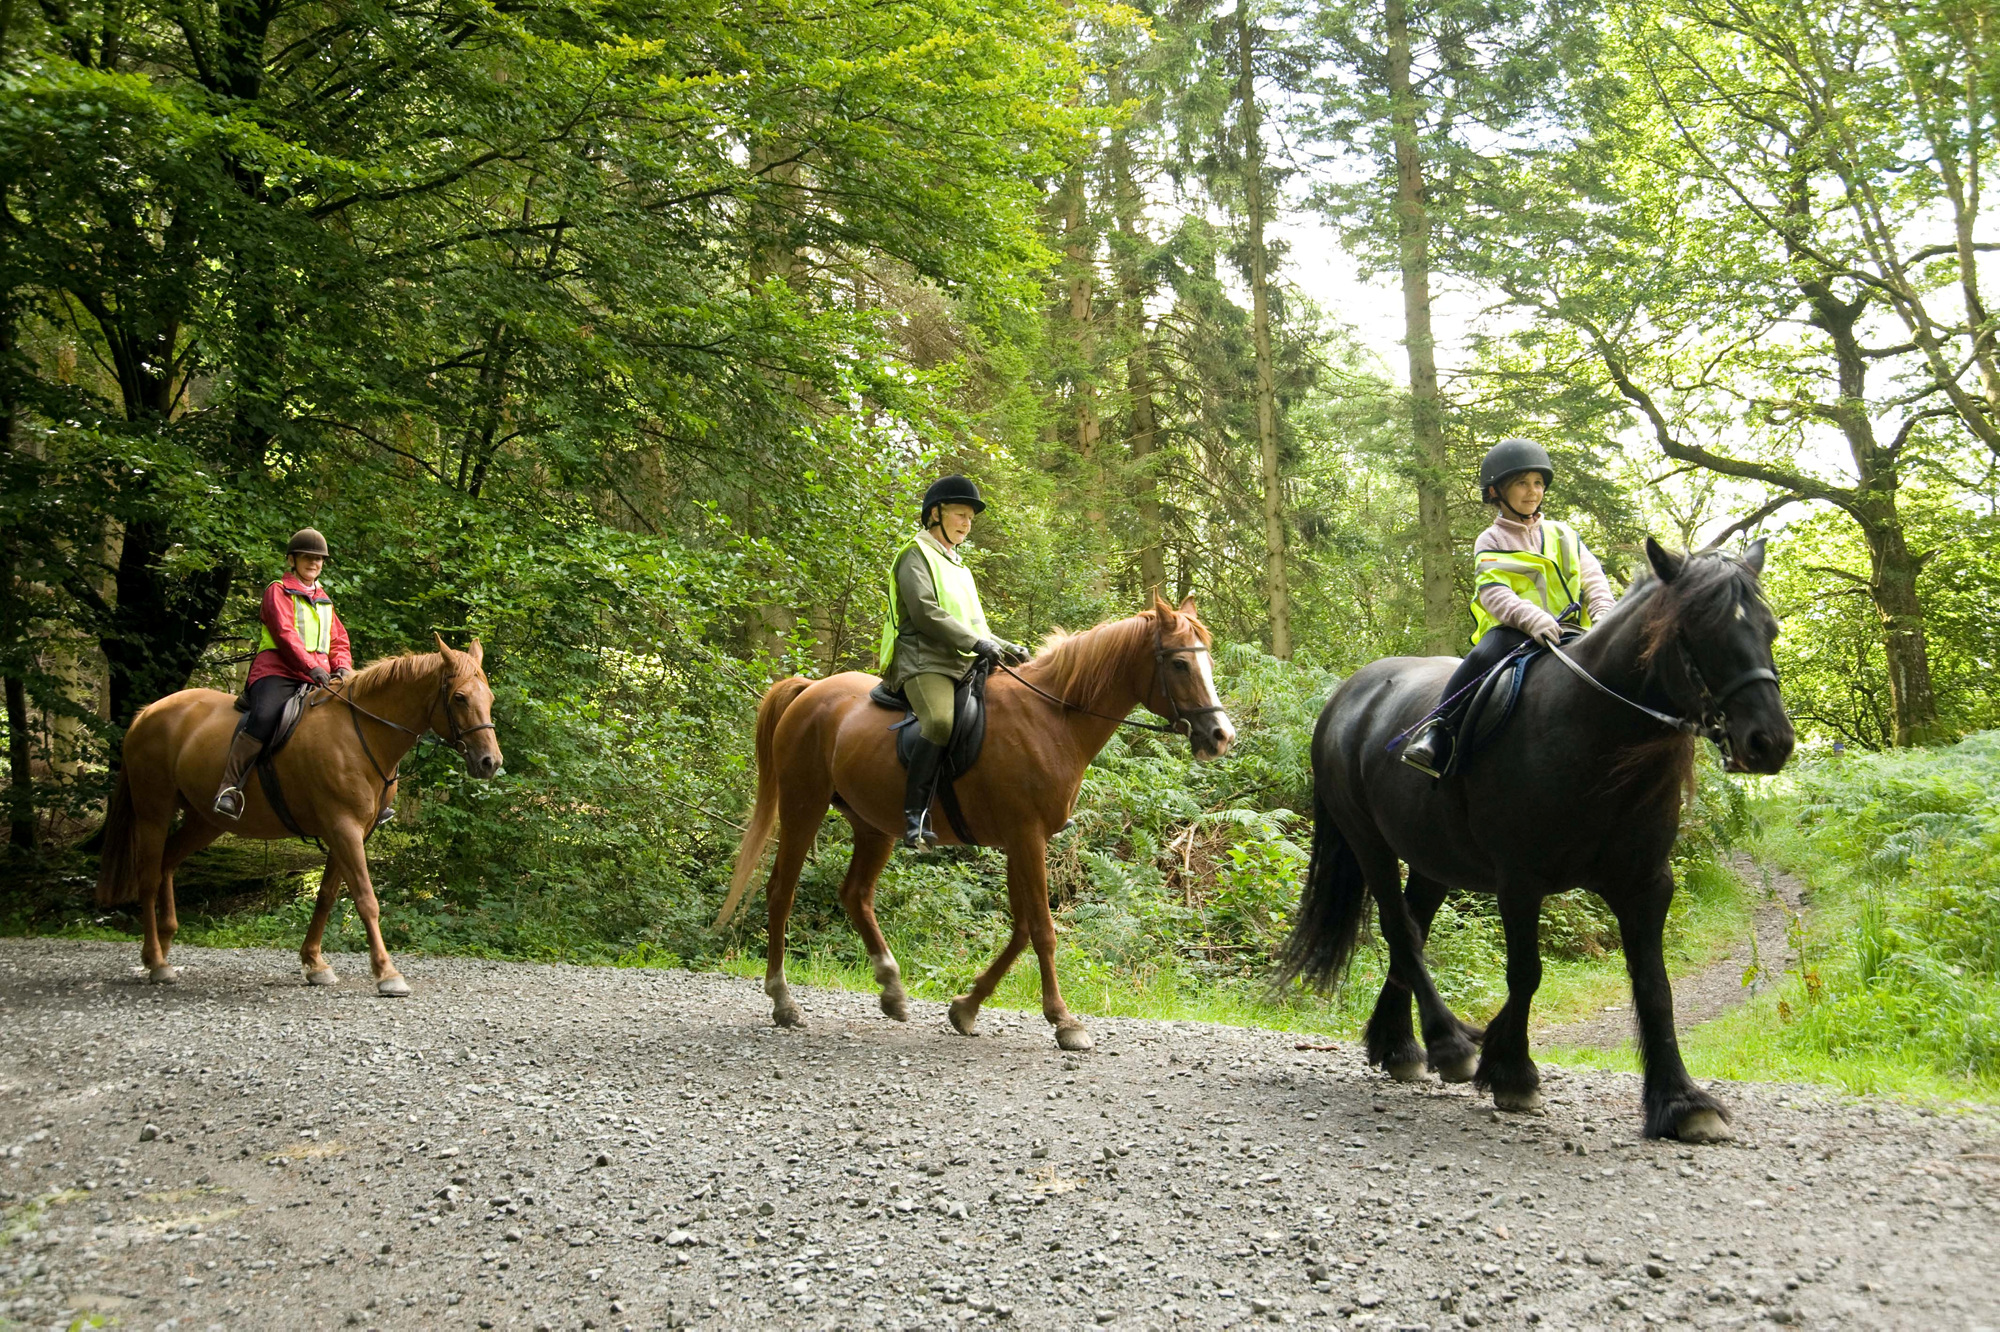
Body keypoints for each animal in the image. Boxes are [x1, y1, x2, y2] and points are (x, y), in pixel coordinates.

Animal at [94, 640, 504, 992]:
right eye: (460, 697)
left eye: (489, 698)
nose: (490, 762)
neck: (361, 734)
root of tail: (147, 713)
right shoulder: (343, 828)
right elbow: (366, 899)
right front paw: (387, 973)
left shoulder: (352, 833)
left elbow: (326, 897)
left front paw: (314, 963)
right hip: (154, 811)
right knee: (148, 877)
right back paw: (155, 960)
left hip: (204, 821)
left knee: (167, 862)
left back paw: (164, 947)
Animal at [712, 592, 1224, 1048]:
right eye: (1179, 664)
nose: (1221, 735)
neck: (1053, 719)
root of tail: (809, 690)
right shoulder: (1027, 837)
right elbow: (1042, 931)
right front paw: (1064, 1022)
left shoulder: (1020, 840)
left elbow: (1021, 930)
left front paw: (965, 1008)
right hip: (804, 805)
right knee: (781, 892)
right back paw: (784, 1001)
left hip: (873, 825)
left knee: (855, 895)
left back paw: (892, 990)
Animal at [1280, 536, 1800, 1136]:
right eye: (1698, 627)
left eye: (1770, 628)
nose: (1770, 741)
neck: (1594, 733)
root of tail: (1345, 695)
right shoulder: (1519, 881)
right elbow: (1526, 973)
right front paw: (1510, 1071)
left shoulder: (1646, 885)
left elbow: (1654, 987)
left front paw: (1681, 1101)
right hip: (1370, 843)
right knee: (1400, 930)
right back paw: (1449, 1043)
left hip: (1433, 859)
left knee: (1412, 928)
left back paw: (1401, 1045)